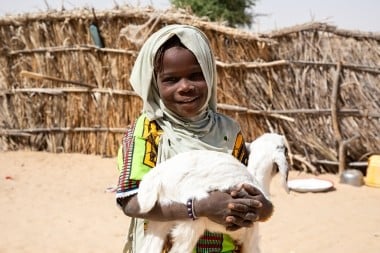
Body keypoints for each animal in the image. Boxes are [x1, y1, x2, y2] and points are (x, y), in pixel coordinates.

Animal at [137, 133, 288, 252]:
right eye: (285, 149)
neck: (258, 180)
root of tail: (158, 175)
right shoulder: (251, 235)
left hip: (161, 215)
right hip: (190, 224)